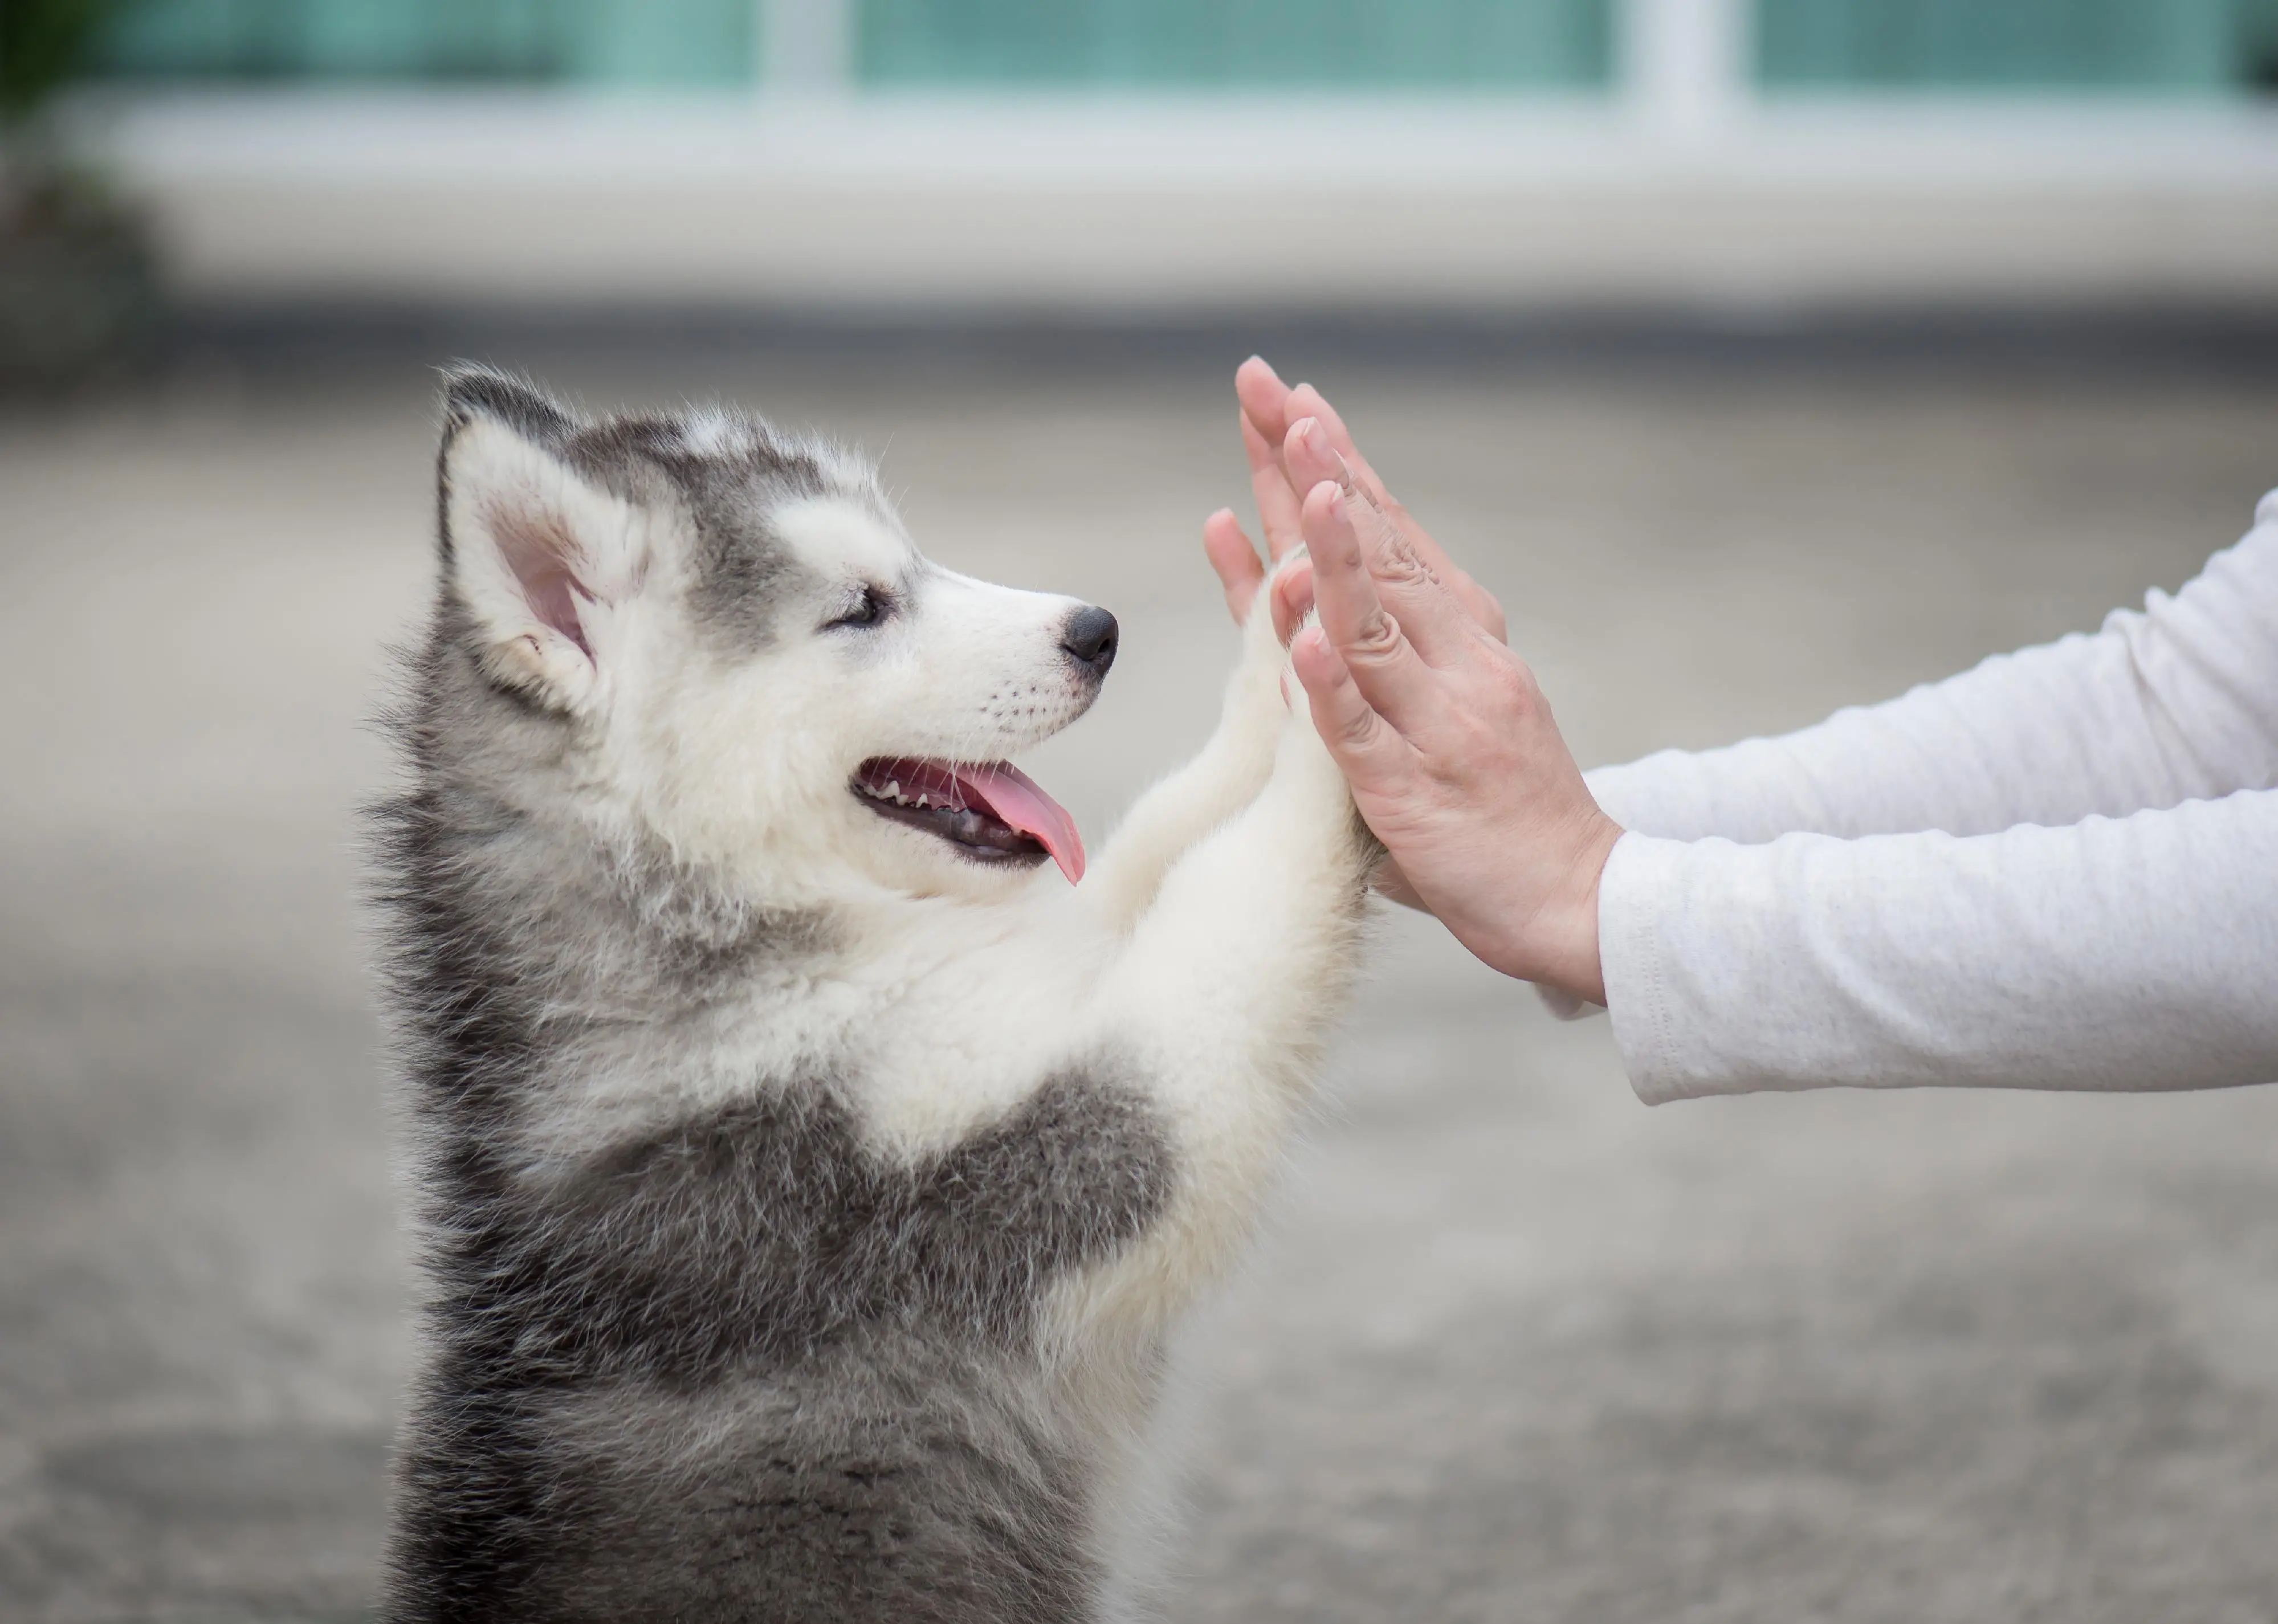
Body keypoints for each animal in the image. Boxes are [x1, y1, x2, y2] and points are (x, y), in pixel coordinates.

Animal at [376, 371, 1376, 1622]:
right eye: (861, 607)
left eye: (913, 559)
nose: (1095, 631)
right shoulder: (1006, 1159)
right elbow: (1233, 903)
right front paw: (1343, 696)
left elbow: (1159, 839)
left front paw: (1285, 629)